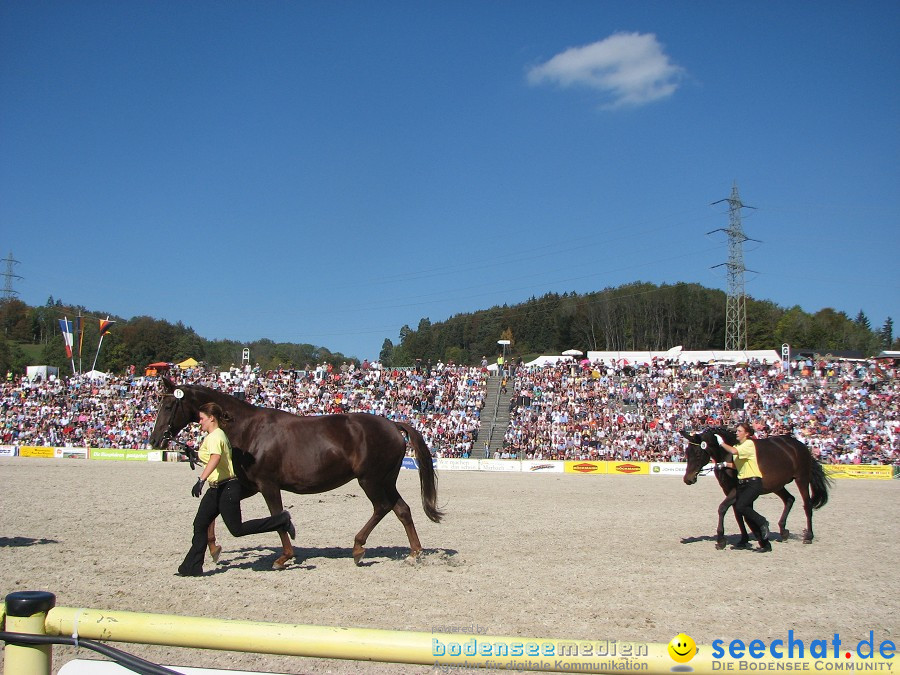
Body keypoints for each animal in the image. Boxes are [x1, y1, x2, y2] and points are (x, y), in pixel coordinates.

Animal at [149, 378, 444, 568]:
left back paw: (359, 547)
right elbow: (214, 509)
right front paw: (214, 549)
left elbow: (278, 517)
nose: (154, 440)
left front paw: (284, 557)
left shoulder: (268, 485)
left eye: (168, 406)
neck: (249, 429)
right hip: (385, 481)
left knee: (382, 507)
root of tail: (393, 425)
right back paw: (414, 553)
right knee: (402, 509)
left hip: (370, 480)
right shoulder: (248, 486)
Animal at [684, 428, 828, 548]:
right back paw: (783, 531)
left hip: (801, 479)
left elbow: (724, 509)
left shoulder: (737, 490)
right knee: (789, 499)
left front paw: (721, 540)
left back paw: (808, 536)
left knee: (807, 505)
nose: (688, 479)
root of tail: (801, 446)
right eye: (687, 453)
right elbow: (739, 513)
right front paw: (745, 539)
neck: (730, 456)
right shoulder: (730, 491)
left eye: (698, 453)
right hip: (777, 485)